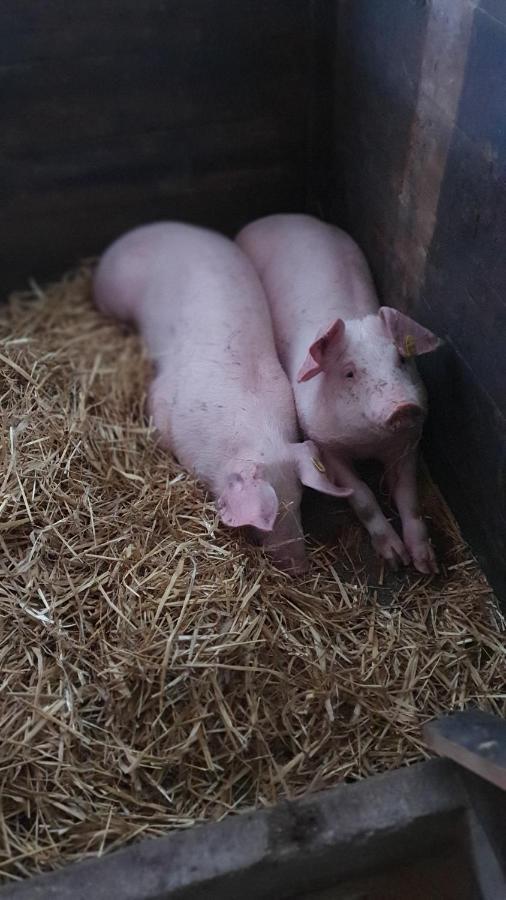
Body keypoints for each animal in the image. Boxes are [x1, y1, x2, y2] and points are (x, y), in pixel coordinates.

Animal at [235, 214, 440, 572]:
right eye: (349, 373)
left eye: (401, 359)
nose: (403, 406)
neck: (370, 443)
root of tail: (275, 217)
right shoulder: (326, 446)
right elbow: (362, 495)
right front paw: (394, 559)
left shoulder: (408, 444)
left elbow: (409, 498)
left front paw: (425, 565)